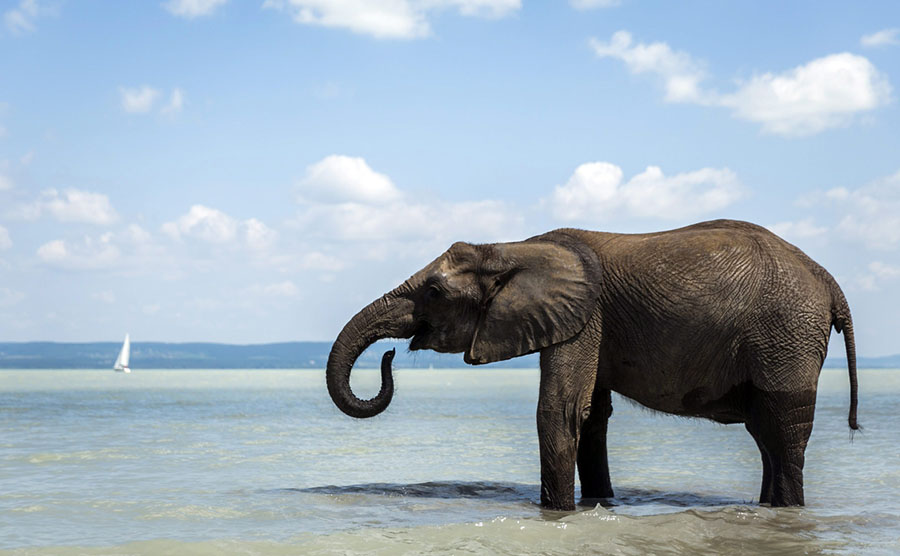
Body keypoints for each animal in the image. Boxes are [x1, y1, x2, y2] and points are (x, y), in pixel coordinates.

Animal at [326, 217, 856, 508]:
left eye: (434, 292)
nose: (389, 354)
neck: (514, 247)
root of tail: (830, 282)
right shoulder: (585, 321)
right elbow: (592, 416)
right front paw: (599, 505)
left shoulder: (585, 315)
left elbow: (559, 412)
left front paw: (557, 514)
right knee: (766, 435)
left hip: (786, 335)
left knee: (784, 429)